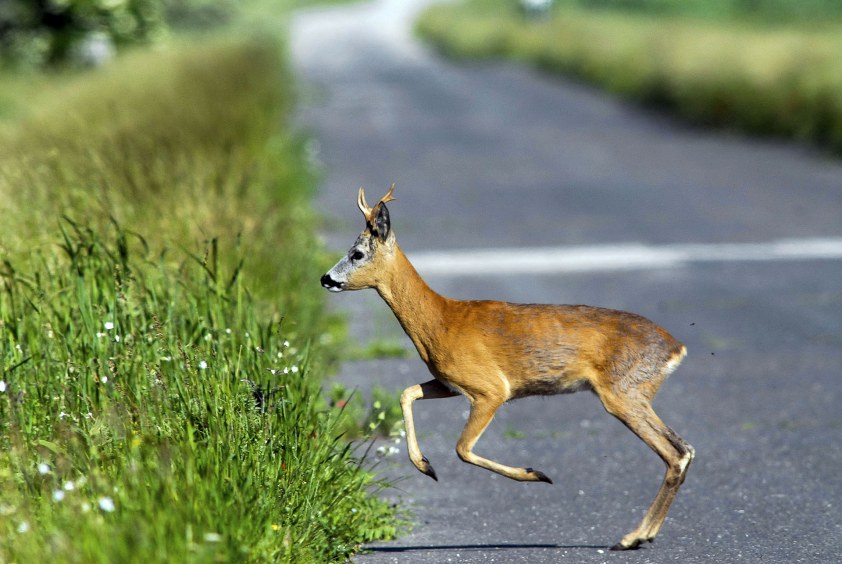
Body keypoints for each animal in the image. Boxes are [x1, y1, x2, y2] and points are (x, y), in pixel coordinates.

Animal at [318, 185, 692, 552]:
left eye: (357, 254)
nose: (325, 278)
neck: (440, 322)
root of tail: (676, 347)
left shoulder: (490, 388)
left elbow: (462, 448)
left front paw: (536, 473)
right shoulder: (450, 382)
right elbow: (406, 393)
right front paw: (426, 466)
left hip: (623, 390)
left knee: (674, 453)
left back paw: (631, 537)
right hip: (634, 392)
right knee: (685, 448)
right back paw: (643, 534)